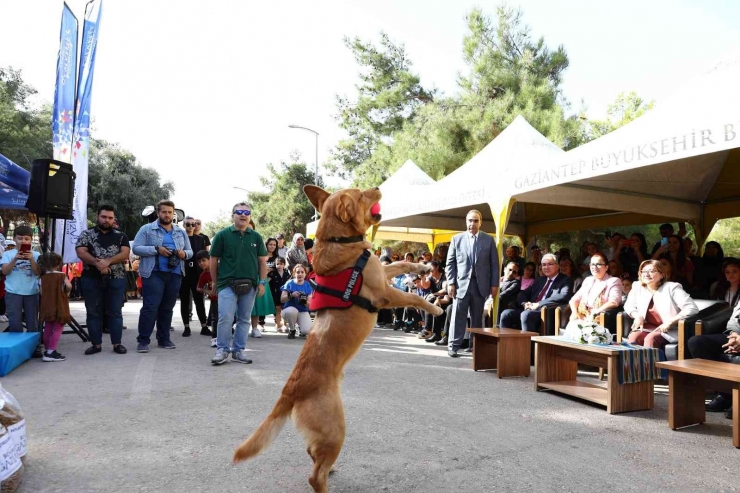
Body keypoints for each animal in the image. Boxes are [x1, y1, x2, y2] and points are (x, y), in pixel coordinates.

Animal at [236, 185, 446, 492]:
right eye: (361, 194)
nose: (378, 187)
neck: (341, 242)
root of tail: (290, 391)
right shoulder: (384, 293)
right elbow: (413, 297)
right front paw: (436, 307)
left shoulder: (381, 269)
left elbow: (399, 263)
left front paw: (422, 269)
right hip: (336, 427)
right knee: (314, 474)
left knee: (313, 455)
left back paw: (329, 468)